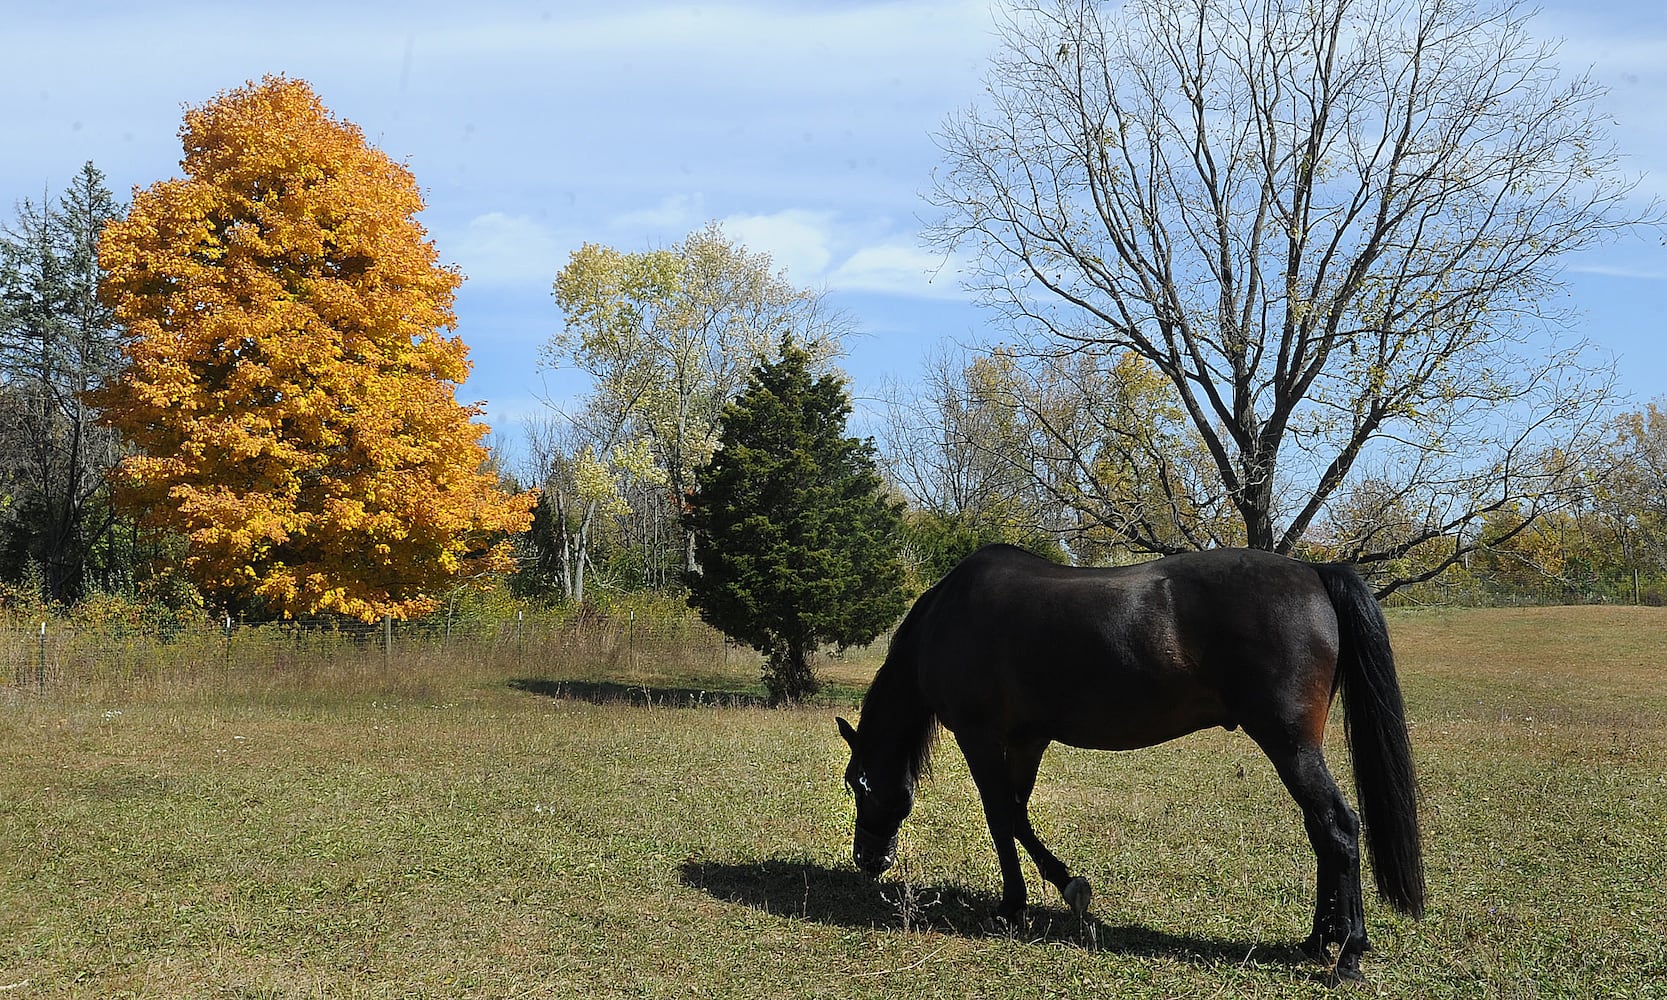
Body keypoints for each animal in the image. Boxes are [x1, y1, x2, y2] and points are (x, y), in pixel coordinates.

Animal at [840, 543, 1426, 980]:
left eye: (858, 783)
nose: (868, 859)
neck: (950, 616)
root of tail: (1314, 573)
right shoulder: (1029, 739)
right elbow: (1020, 814)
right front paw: (1066, 886)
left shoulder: (979, 735)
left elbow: (1000, 817)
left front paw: (1013, 905)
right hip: (1297, 749)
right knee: (1322, 831)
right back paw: (1316, 941)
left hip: (1290, 745)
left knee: (1338, 827)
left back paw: (1348, 953)